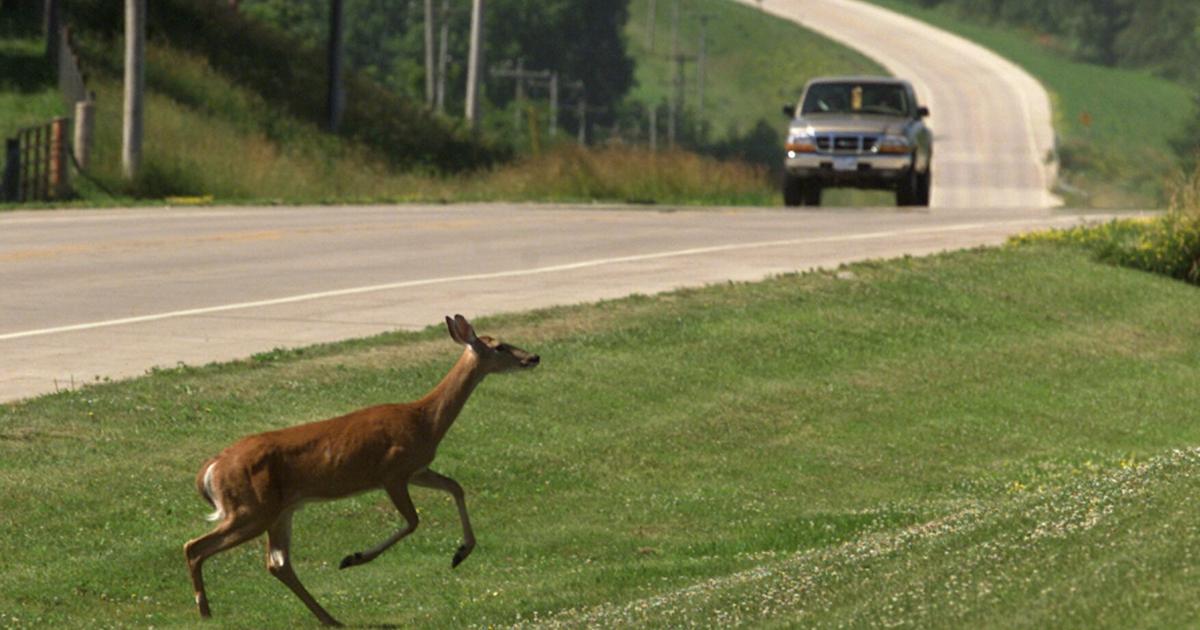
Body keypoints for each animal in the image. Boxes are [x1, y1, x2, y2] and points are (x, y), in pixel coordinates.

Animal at [183, 314, 540, 626]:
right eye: (500, 346)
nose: (533, 357)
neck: (424, 419)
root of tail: (210, 469)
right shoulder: (392, 471)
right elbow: (413, 521)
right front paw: (354, 557)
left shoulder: (417, 469)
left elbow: (455, 487)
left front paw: (461, 553)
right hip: (251, 508)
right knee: (194, 547)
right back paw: (205, 611)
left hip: (279, 510)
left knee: (277, 563)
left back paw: (330, 618)